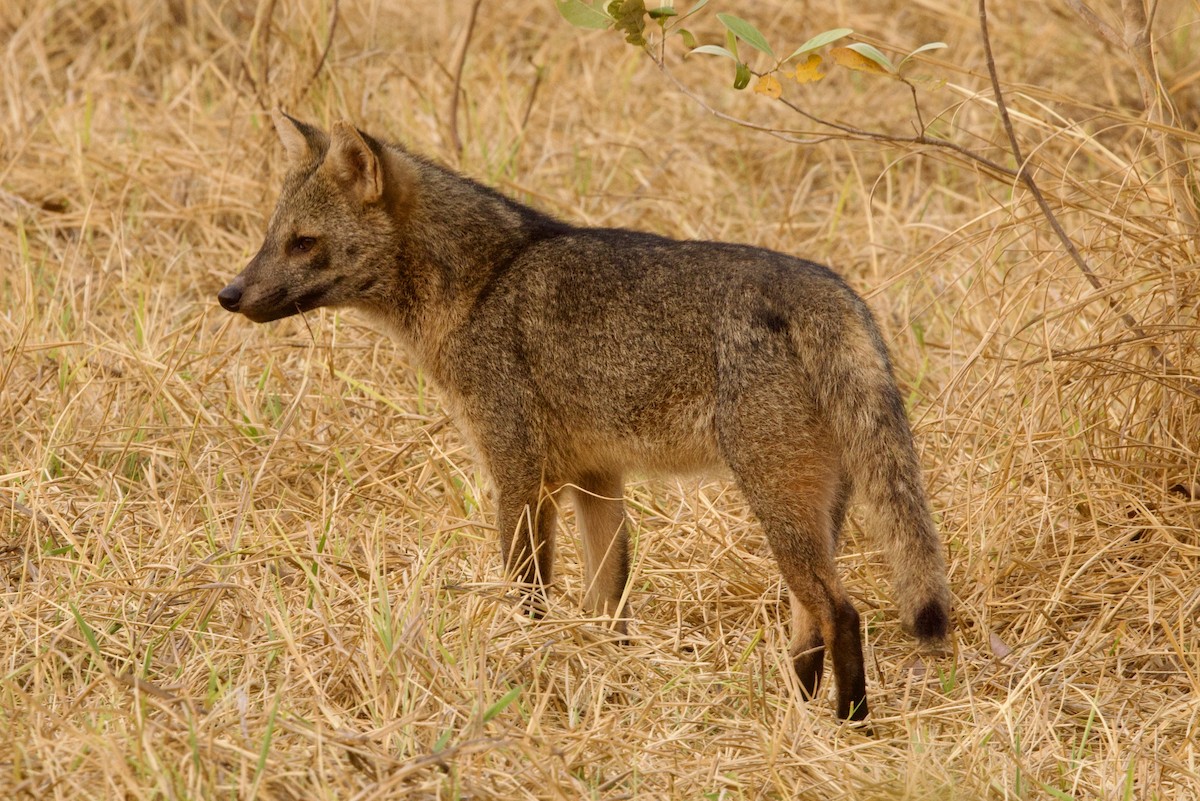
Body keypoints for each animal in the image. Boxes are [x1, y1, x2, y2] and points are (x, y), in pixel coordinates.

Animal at [217, 111, 952, 723]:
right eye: (270, 238)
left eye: (303, 242)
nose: (228, 294)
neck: (483, 284)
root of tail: (834, 290)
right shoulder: (596, 479)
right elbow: (607, 608)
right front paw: (604, 678)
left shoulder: (518, 474)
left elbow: (529, 595)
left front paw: (530, 665)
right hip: (807, 514)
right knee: (808, 627)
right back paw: (789, 716)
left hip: (779, 506)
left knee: (842, 613)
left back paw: (847, 724)